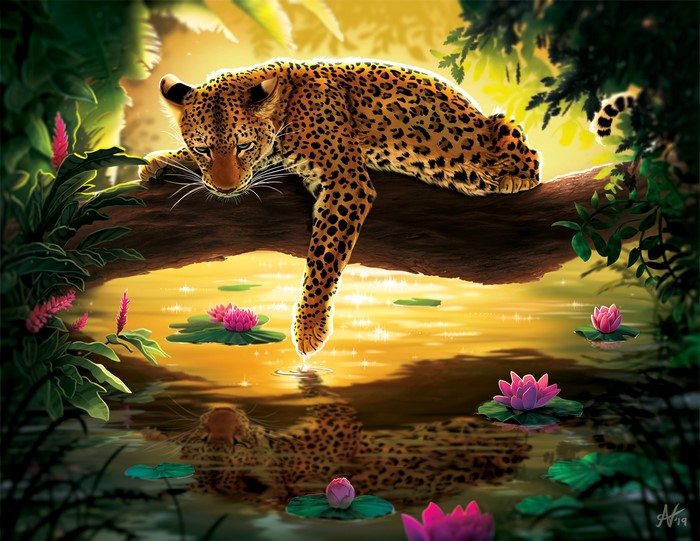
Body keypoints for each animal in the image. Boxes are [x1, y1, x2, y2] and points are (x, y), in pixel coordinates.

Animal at [139, 58, 542, 358]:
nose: (226, 188)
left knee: (529, 156)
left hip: (498, 135)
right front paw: (162, 160)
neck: (285, 111)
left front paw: (308, 327)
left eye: (244, 146)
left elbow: (324, 257)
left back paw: (513, 178)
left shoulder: (345, 181)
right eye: (203, 149)